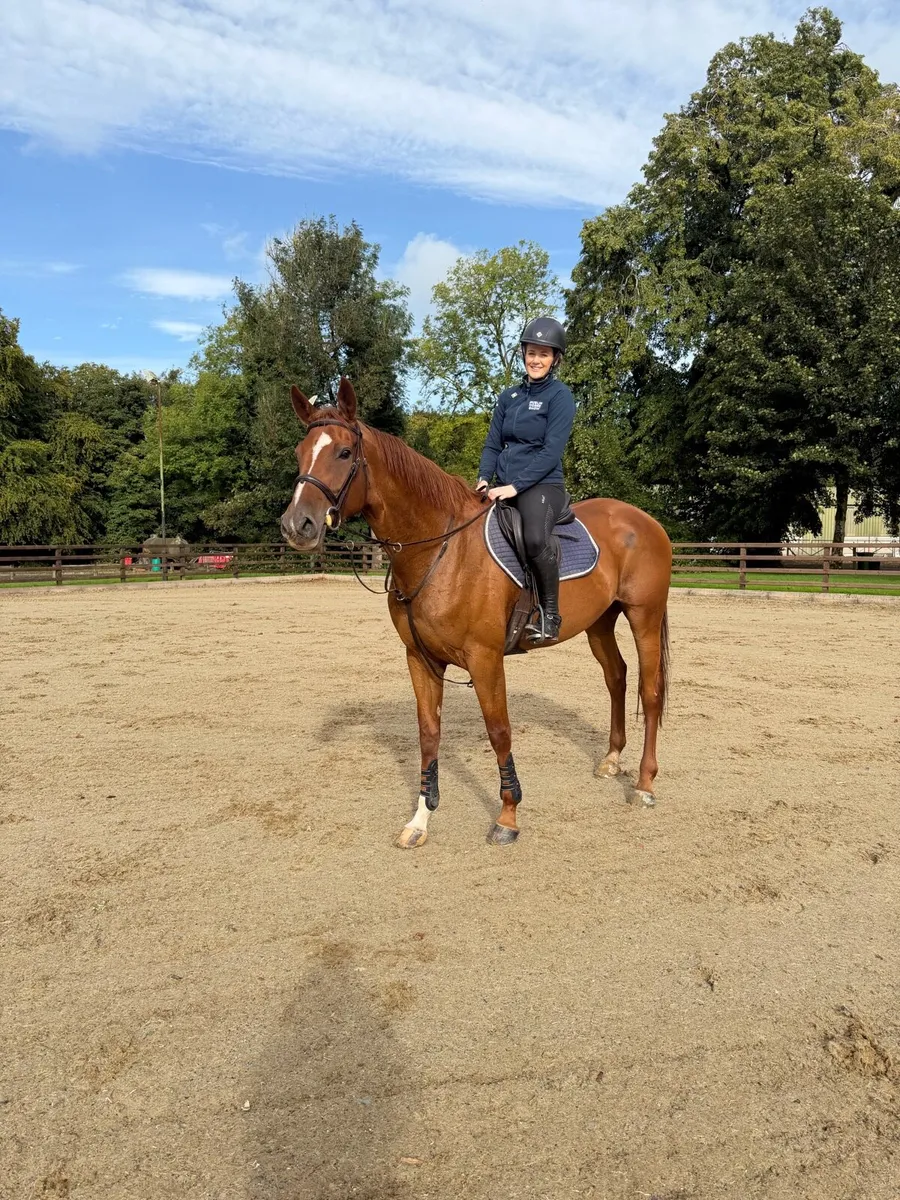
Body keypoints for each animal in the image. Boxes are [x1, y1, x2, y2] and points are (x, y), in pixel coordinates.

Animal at [281, 377, 672, 848]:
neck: (441, 548)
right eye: (300, 453)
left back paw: (645, 785)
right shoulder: (421, 660)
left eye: (342, 453)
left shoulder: (485, 660)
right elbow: (429, 734)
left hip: (643, 615)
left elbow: (499, 731)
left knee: (650, 692)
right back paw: (612, 759)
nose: (297, 525)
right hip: (600, 622)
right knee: (616, 676)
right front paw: (420, 819)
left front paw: (508, 817)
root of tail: (644, 520)